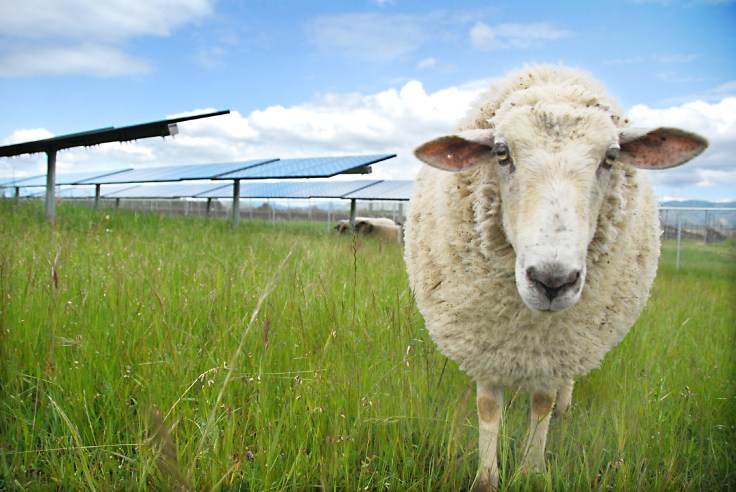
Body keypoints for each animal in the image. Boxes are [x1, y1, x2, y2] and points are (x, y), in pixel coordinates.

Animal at [403, 65, 707, 491]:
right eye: (501, 152)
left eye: (611, 156)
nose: (552, 281)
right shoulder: (482, 339)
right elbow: (488, 407)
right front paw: (487, 477)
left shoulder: (554, 346)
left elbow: (542, 402)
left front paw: (531, 470)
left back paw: (564, 407)